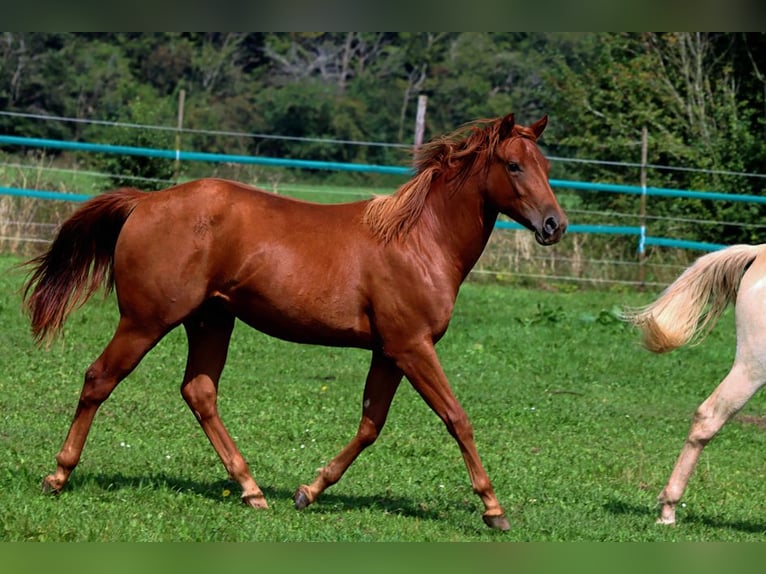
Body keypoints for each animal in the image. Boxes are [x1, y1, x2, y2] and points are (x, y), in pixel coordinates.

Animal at [24, 112, 568, 532]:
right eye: (514, 165)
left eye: (545, 166)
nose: (554, 225)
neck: (418, 240)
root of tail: (144, 202)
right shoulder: (413, 346)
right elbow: (457, 418)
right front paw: (493, 509)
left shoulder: (388, 351)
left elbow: (370, 424)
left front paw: (309, 490)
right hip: (145, 320)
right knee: (99, 378)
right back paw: (58, 476)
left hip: (211, 321)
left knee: (199, 392)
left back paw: (252, 490)